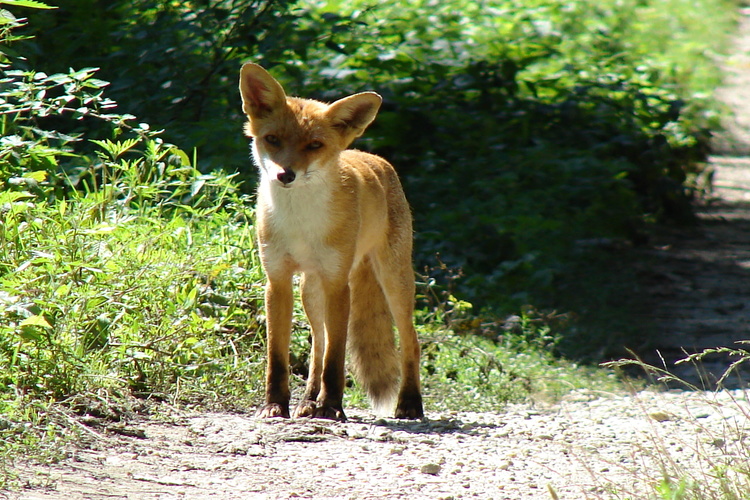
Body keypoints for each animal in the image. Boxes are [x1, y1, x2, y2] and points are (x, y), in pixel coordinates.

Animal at [241, 63, 426, 422]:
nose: (285, 175)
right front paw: (275, 405)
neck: (300, 223)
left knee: (410, 341)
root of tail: (369, 154)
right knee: (318, 345)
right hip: (310, 292)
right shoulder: (277, 280)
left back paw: (410, 402)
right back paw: (307, 401)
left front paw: (331, 407)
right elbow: (278, 358)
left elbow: (336, 359)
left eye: (314, 145)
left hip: (394, 281)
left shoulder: (338, 283)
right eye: (272, 140)